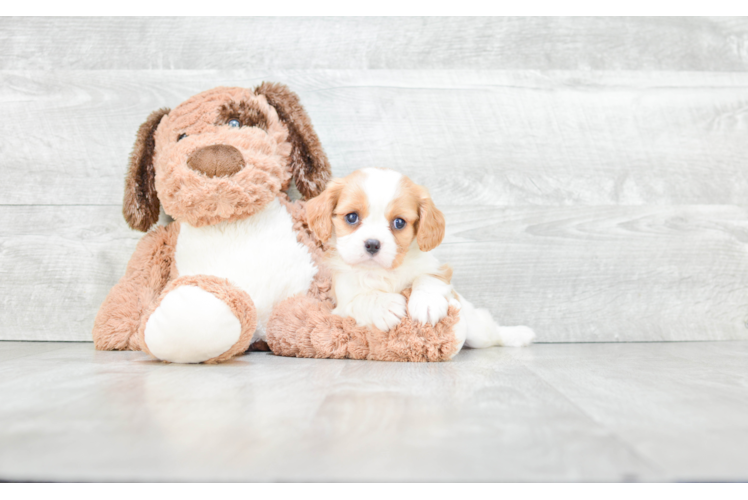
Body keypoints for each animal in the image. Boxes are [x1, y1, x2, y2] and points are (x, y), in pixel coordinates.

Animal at [306, 168, 536, 352]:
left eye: (399, 223)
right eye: (352, 217)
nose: (372, 244)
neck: (385, 271)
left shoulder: (437, 269)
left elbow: (427, 279)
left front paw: (427, 303)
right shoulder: (342, 302)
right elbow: (361, 299)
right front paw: (384, 306)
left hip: (479, 330)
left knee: (494, 334)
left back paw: (519, 334)